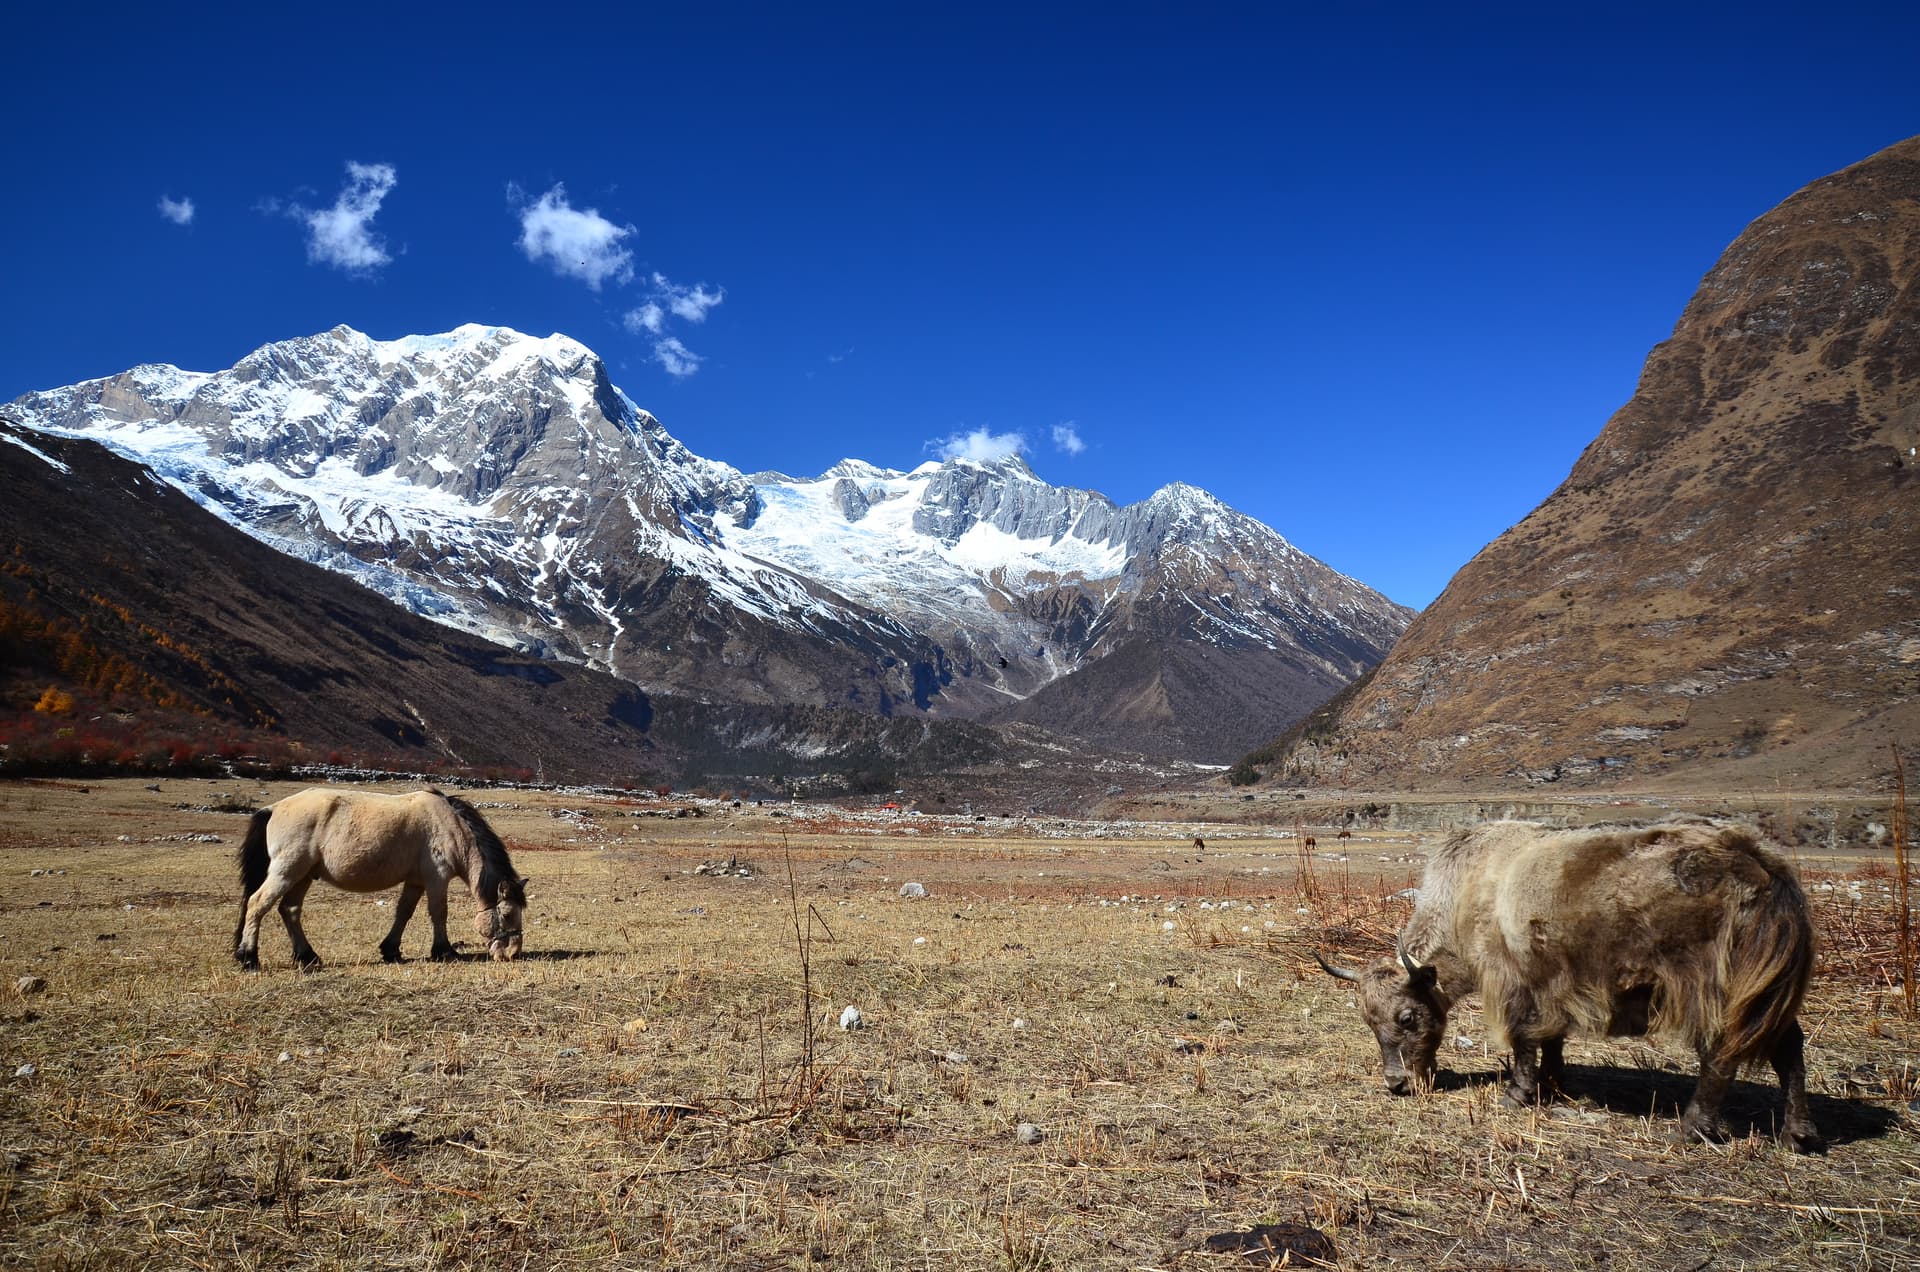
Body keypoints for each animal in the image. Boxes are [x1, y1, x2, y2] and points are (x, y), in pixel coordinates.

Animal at [233, 787, 527, 970]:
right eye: (507, 914)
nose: (513, 954)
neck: (451, 826)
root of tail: (273, 808)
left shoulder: (415, 881)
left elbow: (404, 913)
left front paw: (391, 950)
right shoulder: (437, 879)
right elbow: (438, 913)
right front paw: (444, 951)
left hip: (303, 875)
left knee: (290, 910)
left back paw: (308, 957)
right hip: (286, 872)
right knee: (258, 904)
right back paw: (248, 957)